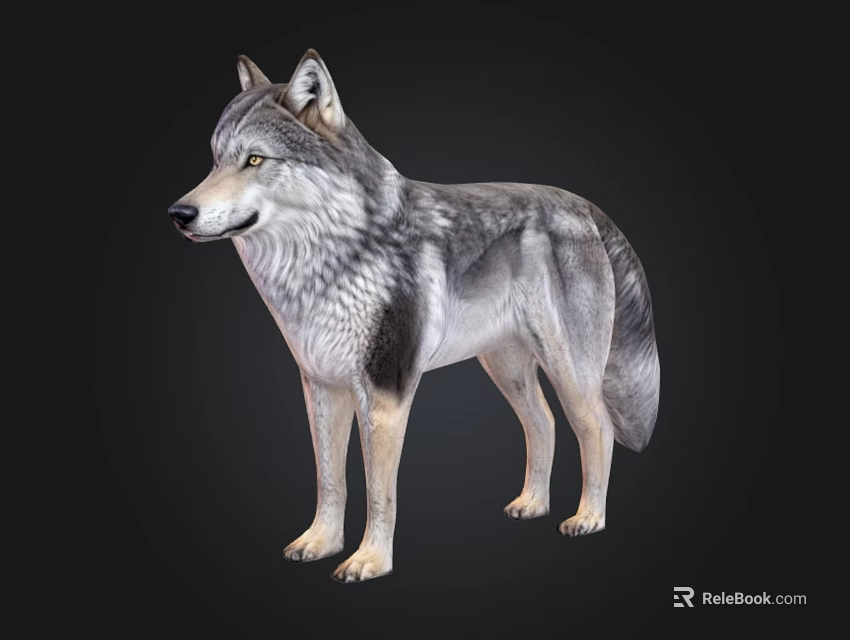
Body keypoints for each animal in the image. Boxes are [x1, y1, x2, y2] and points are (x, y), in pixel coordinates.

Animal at [168, 49, 660, 582]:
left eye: (255, 159)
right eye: (216, 160)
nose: (179, 213)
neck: (331, 259)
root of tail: (585, 206)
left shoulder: (385, 393)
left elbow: (380, 494)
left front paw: (370, 561)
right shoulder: (321, 388)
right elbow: (330, 481)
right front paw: (321, 543)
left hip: (569, 372)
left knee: (597, 429)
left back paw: (588, 518)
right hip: (506, 369)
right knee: (543, 423)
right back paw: (532, 504)